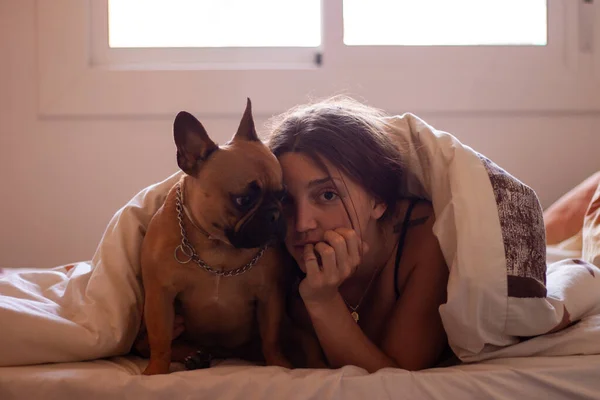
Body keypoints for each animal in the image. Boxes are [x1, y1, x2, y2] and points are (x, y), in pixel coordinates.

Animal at [139, 100, 292, 376]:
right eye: (243, 199)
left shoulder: (270, 295)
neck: (219, 246)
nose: (275, 215)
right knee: (147, 344)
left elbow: (271, 338)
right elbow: (160, 339)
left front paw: (280, 365)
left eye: (283, 195)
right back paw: (195, 357)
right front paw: (155, 372)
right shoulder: (160, 294)